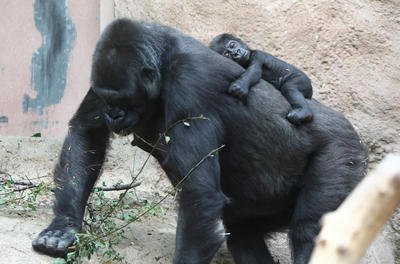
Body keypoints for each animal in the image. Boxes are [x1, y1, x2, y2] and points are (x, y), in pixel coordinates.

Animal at [32, 19, 368, 264]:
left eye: (124, 100)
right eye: (106, 98)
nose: (112, 114)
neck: (163, 61)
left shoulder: (189, 83)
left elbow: (199, 196)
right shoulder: (99, 72)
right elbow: (87, 133)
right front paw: (63, 227)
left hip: (345, 151)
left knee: (308, 231)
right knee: (243, 234)